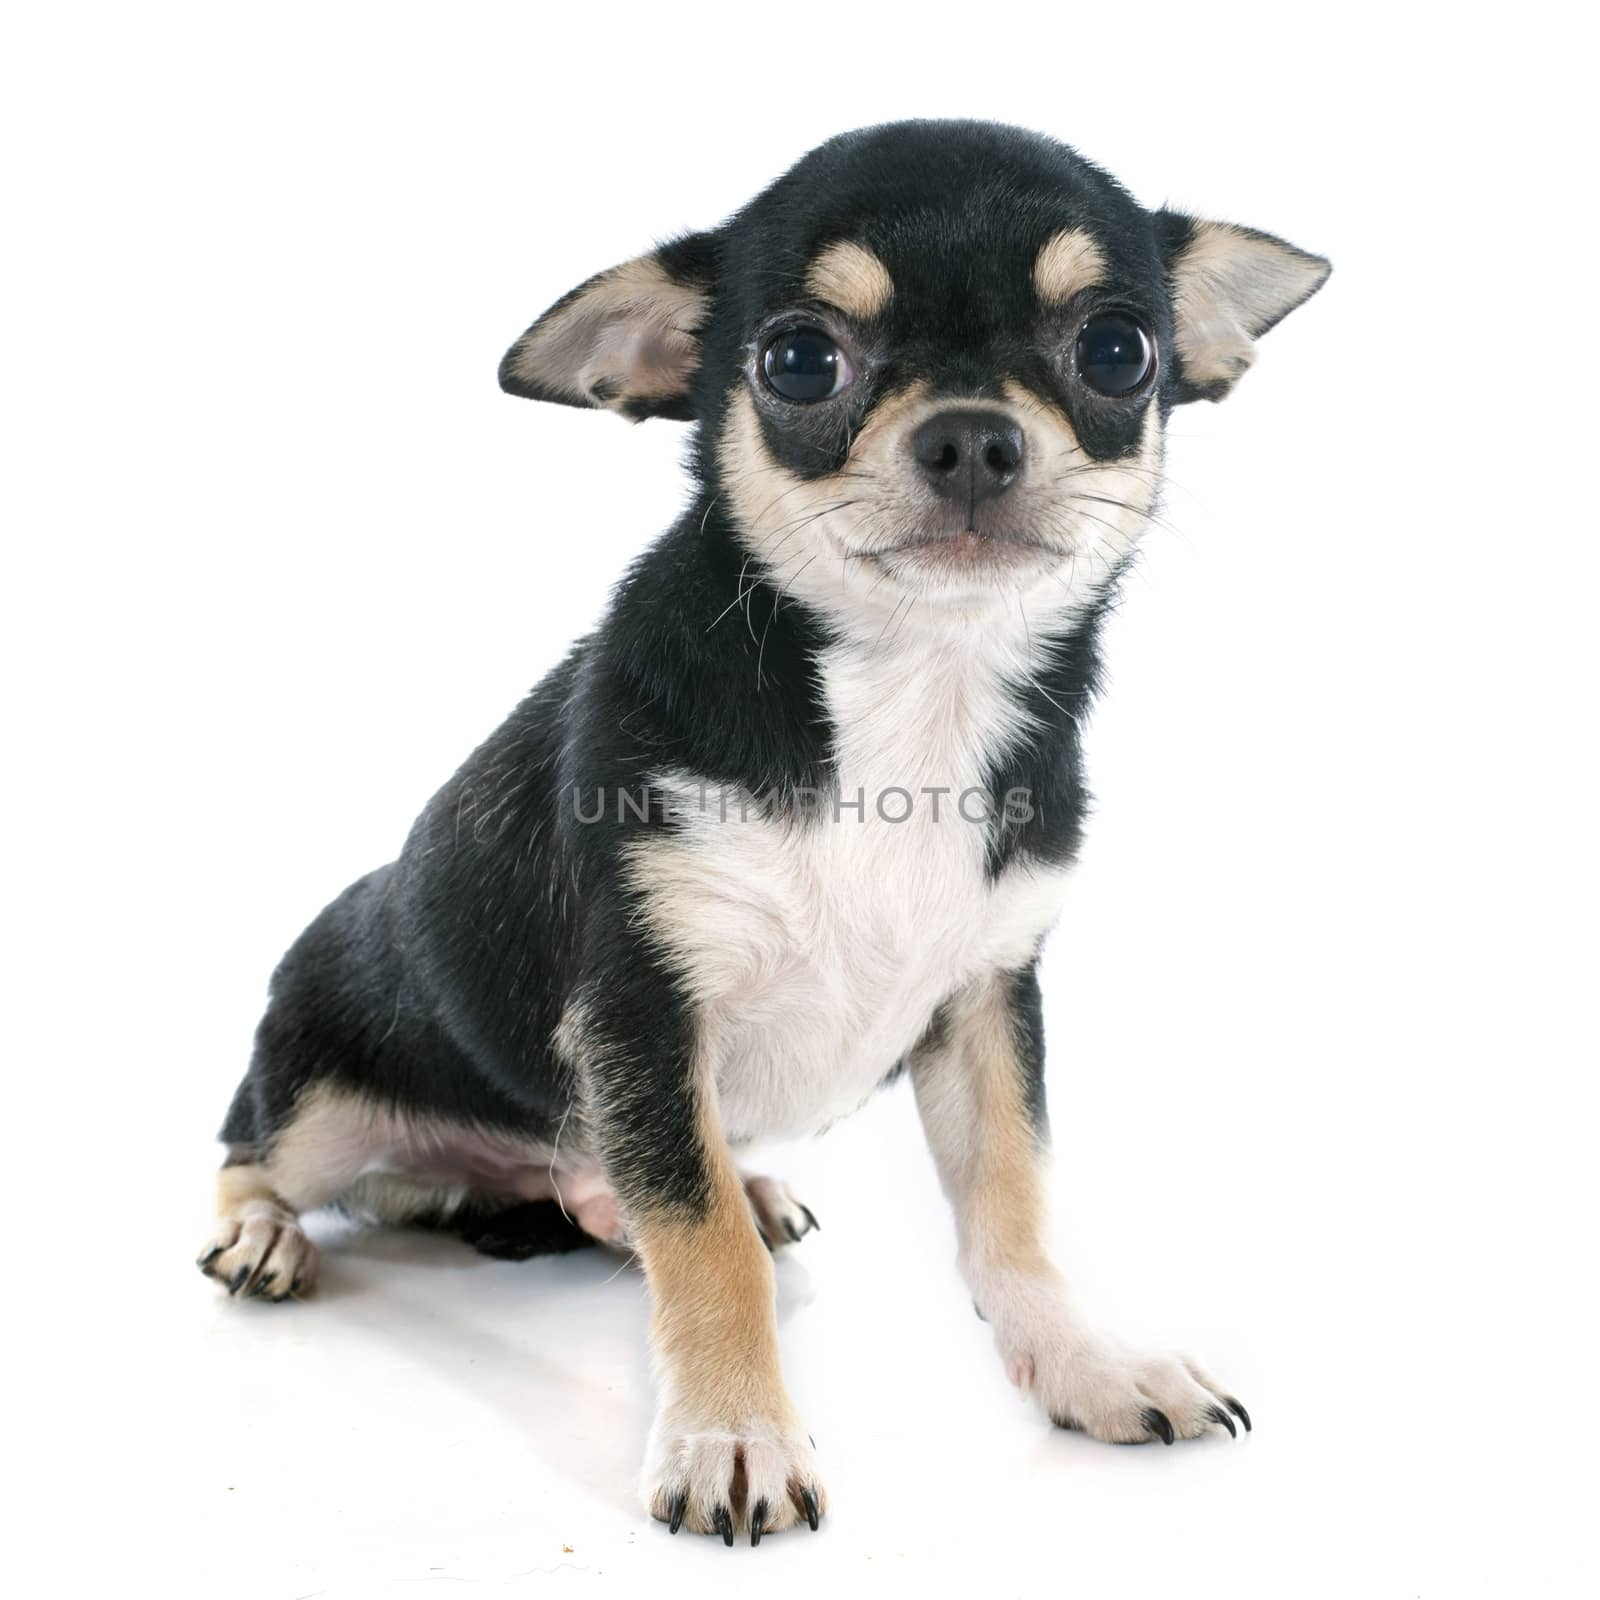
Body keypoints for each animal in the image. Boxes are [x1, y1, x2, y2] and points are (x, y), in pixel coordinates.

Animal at [200, 118, 1324, 1542]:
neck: (912, 693)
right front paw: (733, 1431)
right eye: (799, 360)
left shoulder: (985, 999)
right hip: (324, 1087)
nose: (972, 437)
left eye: (1119, 348)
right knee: (251, 1148)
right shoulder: (640, 1009)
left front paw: (1085, 1361)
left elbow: (1010, 1208)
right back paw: (265, 1232)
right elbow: (703, 1247)